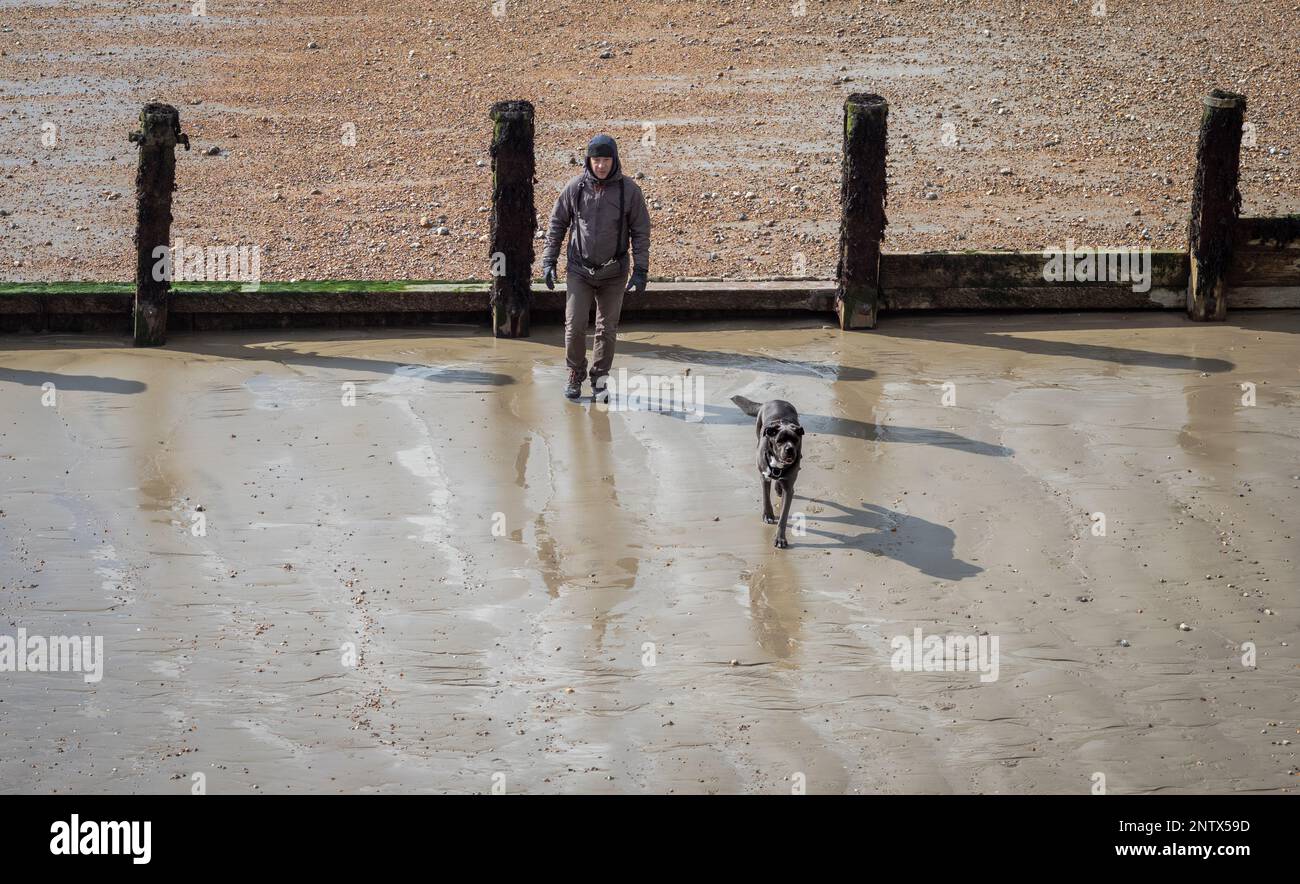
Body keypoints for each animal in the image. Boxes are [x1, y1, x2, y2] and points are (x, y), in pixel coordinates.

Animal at [733, 392, 800, 546]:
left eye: (795, 440)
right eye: (779, 440)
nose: (790, 450)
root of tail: (775, 400)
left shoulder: (789, 488)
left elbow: (784, 516)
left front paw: (780, 538)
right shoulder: (764, 477)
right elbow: (765, 497)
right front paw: (768, 515)